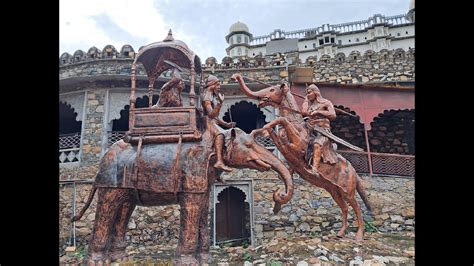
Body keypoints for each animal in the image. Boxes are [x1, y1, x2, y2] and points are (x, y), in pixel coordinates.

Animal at [233, 73, 374, 241]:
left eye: (272, 89)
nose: (235, 76)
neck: (297, 123)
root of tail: (353, 170)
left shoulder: (299, 146)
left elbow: (281, 120)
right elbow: (273, 131)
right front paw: (257, 133)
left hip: (348, 190)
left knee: (357, 207)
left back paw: (359, 235)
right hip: (334, 191)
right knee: (345, 208)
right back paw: (340, 233)